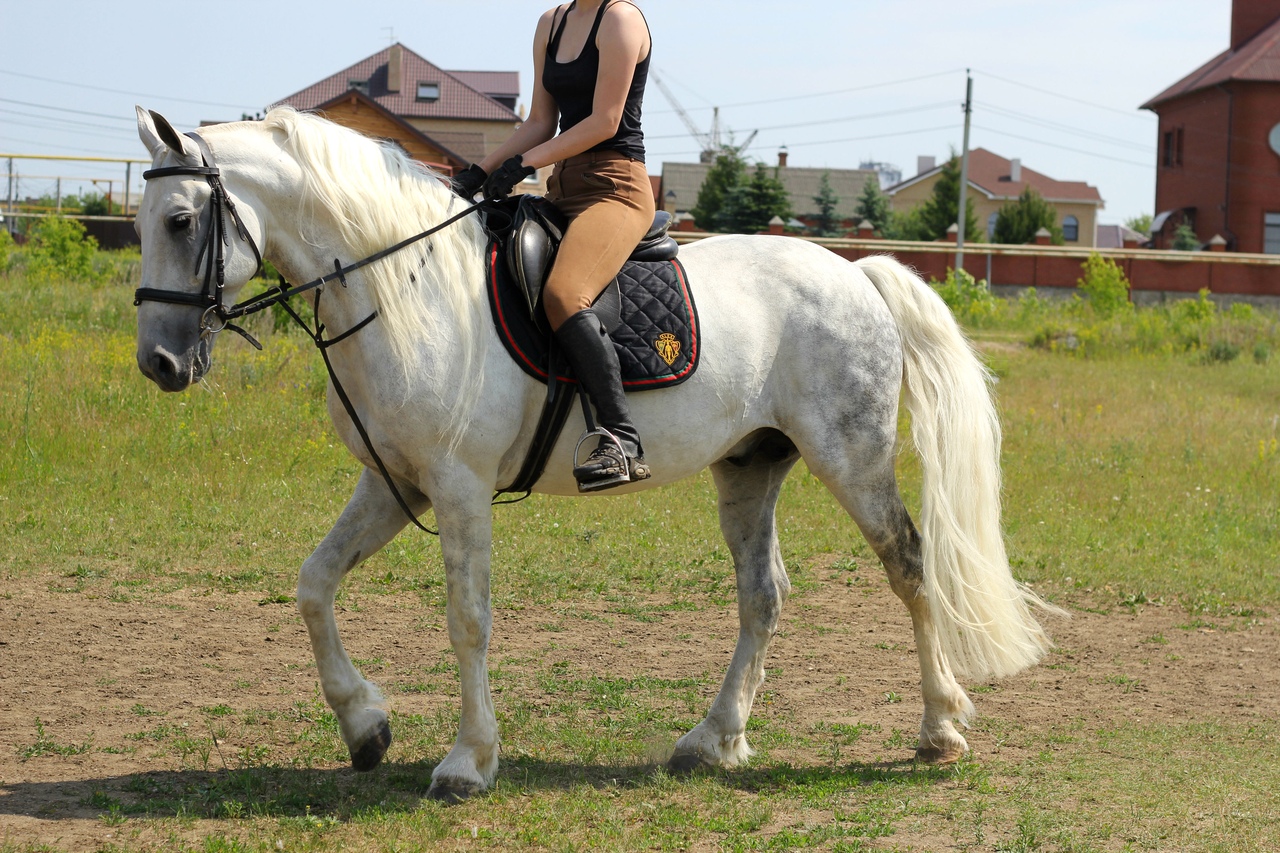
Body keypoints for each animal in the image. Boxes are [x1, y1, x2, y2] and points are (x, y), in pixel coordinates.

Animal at [135, 104, 1059, 799]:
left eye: (180, 220)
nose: (159, 364)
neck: (404, 289)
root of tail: (856, 271)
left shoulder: (457, 487)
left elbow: (467, 619)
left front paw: (468, 761)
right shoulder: (394, 479)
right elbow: (313, 585)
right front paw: (365, 726)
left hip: (851, 456)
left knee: (909, 564)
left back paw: (938, 728)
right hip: (750, 465)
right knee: (763, 595)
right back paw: (712, 737)